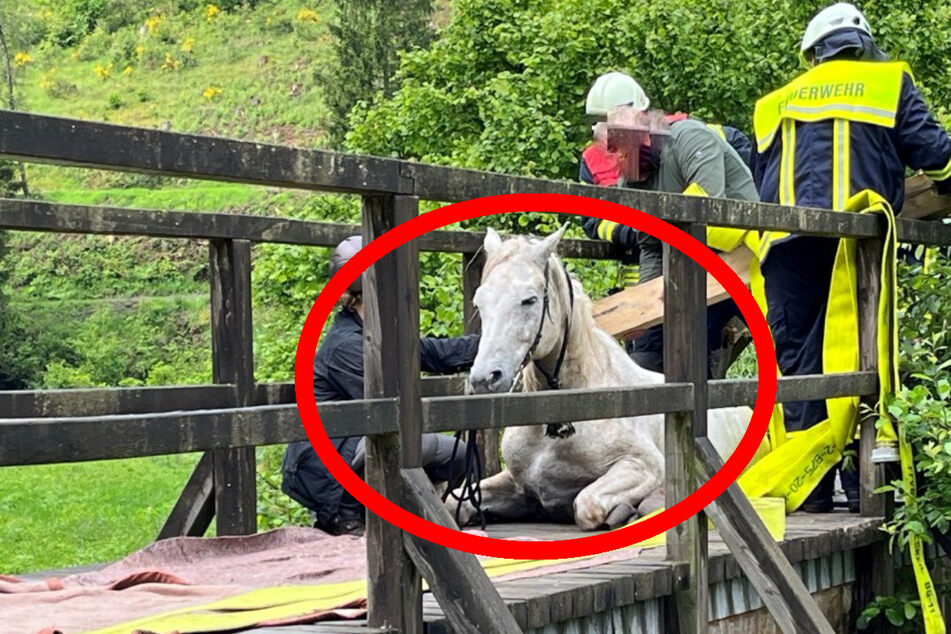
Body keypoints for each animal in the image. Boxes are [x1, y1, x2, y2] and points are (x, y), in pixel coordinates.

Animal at [450, 225, 768, 532]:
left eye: (529, 300)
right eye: (480, 301)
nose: (484, 378)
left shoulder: (642, 466)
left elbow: (586, 504)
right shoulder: (517, 482)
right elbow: (459, 503)